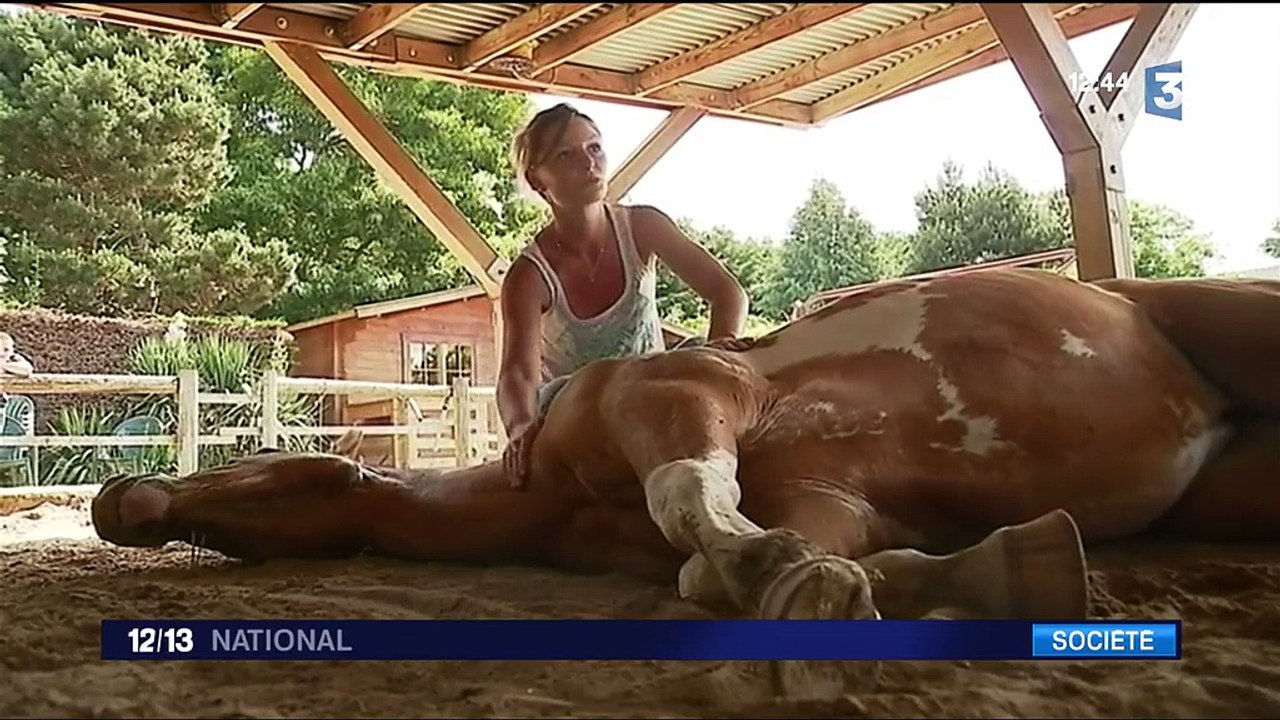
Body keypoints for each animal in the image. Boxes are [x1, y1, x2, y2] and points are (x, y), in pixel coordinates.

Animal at [88, 268, 1280, 692]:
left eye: (256, 476)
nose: (119, 502)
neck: (546, 489)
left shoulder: (688, 391)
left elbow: (691, 508)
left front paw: (796, 584)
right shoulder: (839, 502)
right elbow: (720, 567)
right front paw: (1008, 568)